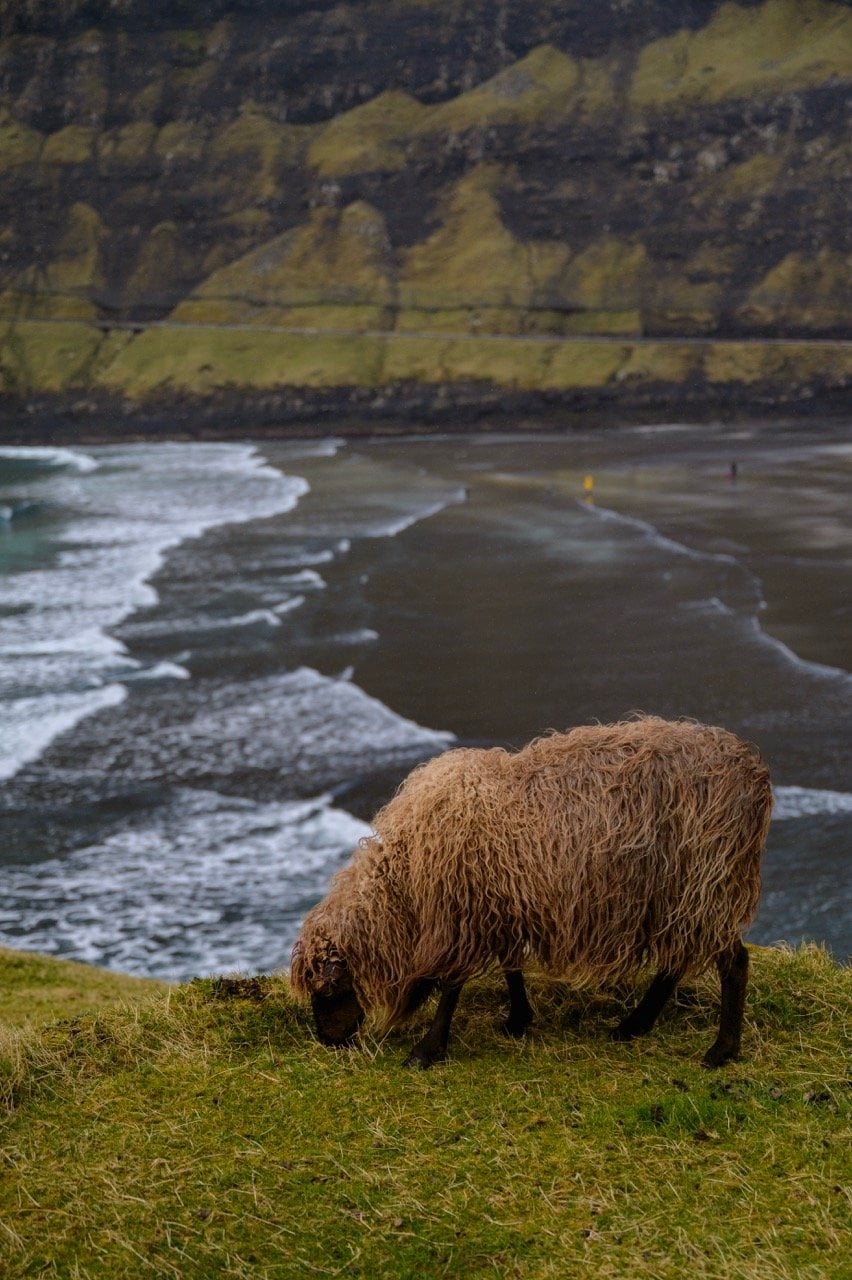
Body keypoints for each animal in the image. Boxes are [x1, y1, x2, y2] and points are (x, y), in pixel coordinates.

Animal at [290, 717, 772, 1069]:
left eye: (328, 990)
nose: (327, 1041)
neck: (405, 885)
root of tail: (753, 771)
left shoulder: (461, 911)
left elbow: (452, 986)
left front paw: (426, 1051)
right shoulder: (501, 902)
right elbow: (511, 968)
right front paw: (518, 1020)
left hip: (707, 884)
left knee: (733, 963)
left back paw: (720, 1051)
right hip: (676, 896)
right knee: (674, 964)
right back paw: (634, 1025)